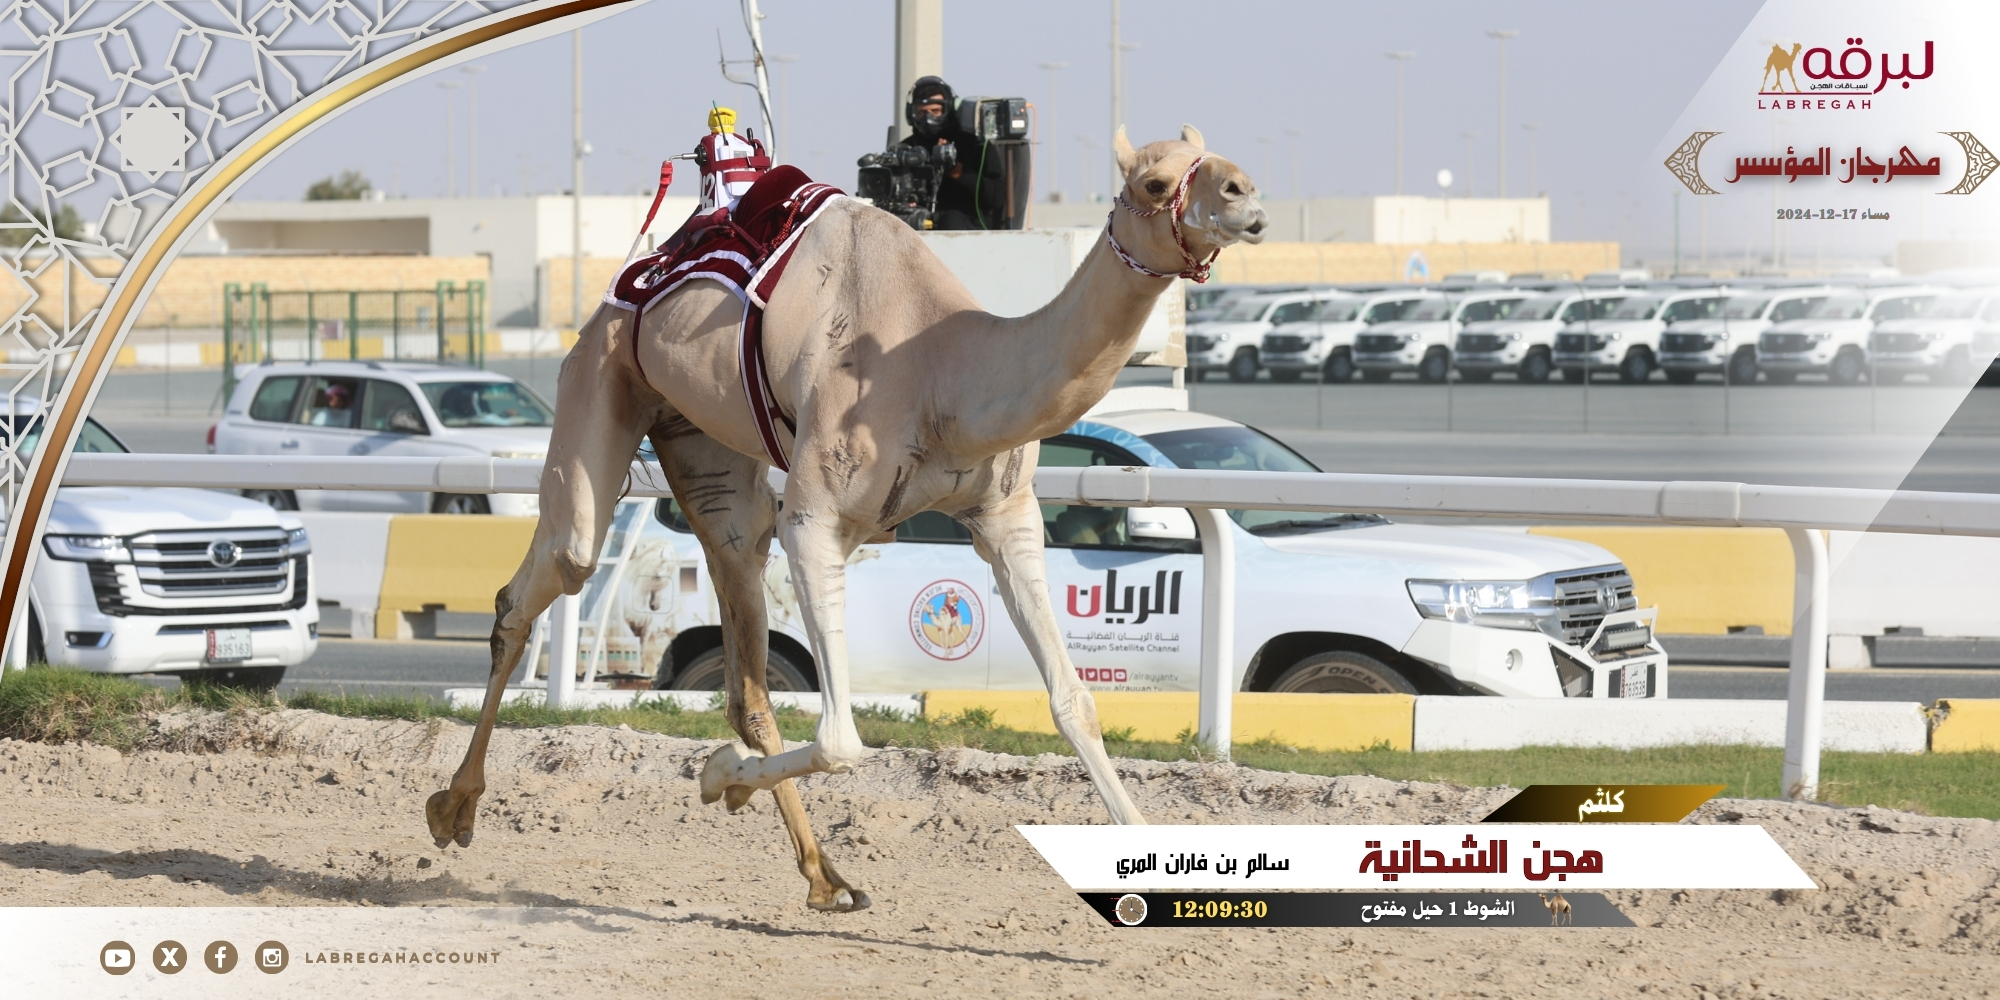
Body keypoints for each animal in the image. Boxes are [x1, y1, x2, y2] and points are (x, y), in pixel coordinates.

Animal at [424, 121, 1264, 912]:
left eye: (1217, 158)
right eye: (1154, 182)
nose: (1246, 197)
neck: (942, 372)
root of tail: (638, 272)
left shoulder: (1005, 516)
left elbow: (1074, 703)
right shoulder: (816, 518)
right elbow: (841, 738)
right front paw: (718, 778)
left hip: (701, 444)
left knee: (743, 656)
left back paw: (826, 877)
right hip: (602, 371)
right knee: (542, 578)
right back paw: (453, 807)